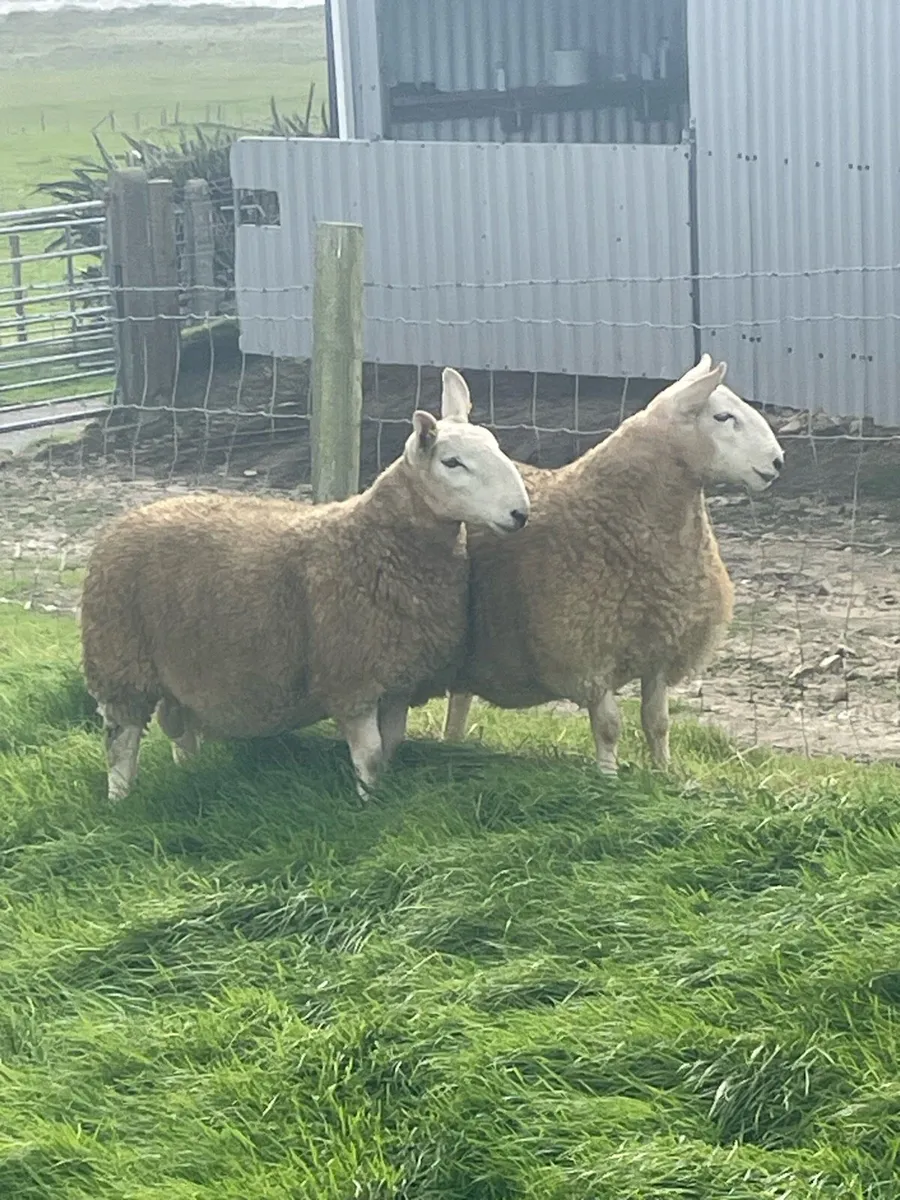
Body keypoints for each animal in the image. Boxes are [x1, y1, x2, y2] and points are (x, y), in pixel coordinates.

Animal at [80, 367, 530, 802]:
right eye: (452, 463)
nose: (520, 514)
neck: (375, 542)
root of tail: (130, 518)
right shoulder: (353, 677)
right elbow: (370, 756)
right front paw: (369, 804)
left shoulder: (397, 679)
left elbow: (391, 746)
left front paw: (381, 795)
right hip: (119, 659)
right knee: (121, 741)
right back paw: (120, 799)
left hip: (177, 666)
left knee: (177, 725)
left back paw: (189, 772)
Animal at [441, 354, 785, 772]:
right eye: (723, 417)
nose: (777, 462)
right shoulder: (588, 651)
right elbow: (608, 726)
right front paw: (607, 776)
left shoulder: (660, 649)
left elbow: (657, 722)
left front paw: (664, 772)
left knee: (460, 698)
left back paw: (452, 745)